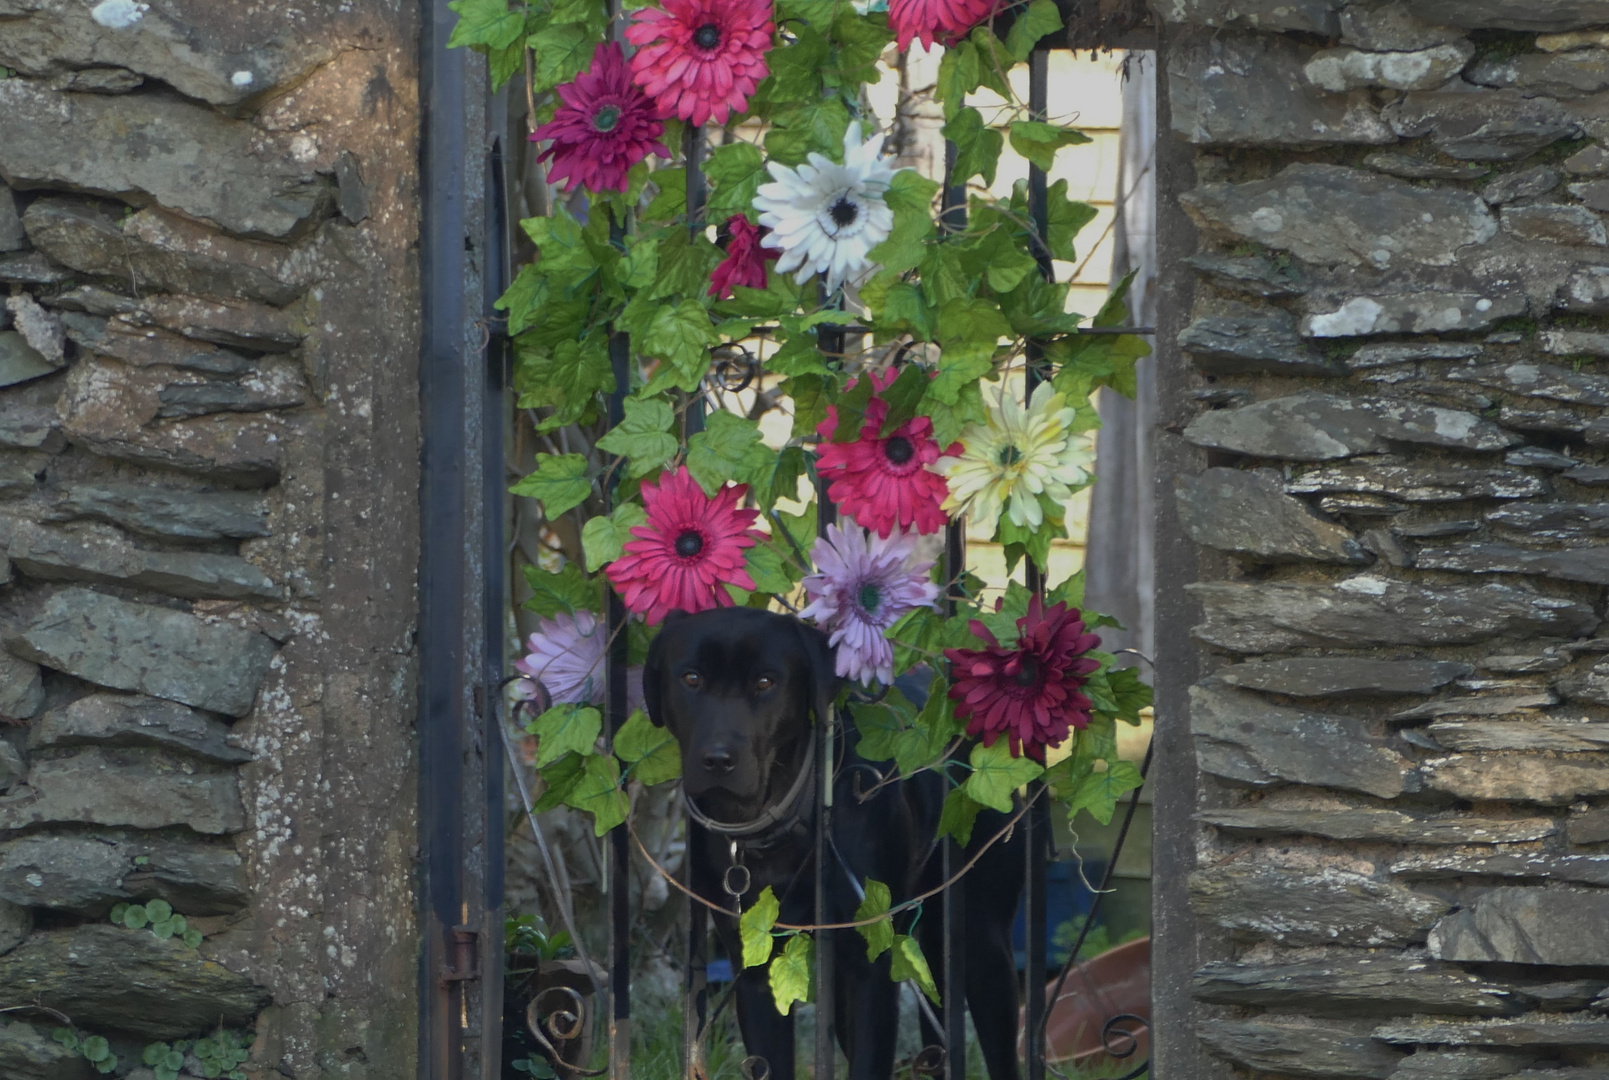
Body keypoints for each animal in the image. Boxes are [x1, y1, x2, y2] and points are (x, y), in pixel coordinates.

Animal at [646, 608, 1023, 1080]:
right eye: (691, 678)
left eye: (765, 682)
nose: (717, 759)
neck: (790, 816)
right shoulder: (754, 971)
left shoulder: (871, 969)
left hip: (983, 942)